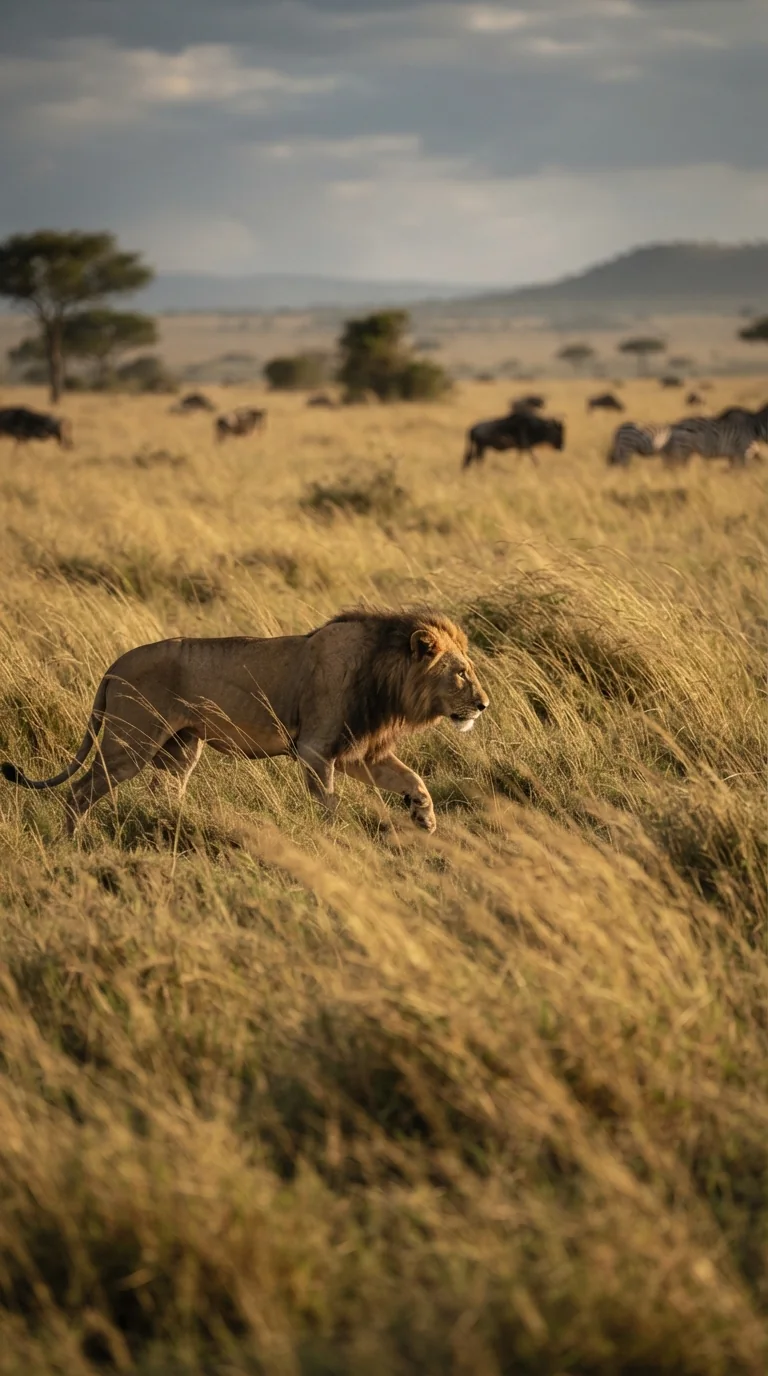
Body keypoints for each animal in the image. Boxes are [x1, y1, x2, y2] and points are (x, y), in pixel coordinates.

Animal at [1, 608, 489, 836]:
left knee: (163, 792)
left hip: (181, 748)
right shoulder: (316, 749)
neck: (386, 674)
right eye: (461, 673)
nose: (485, 705)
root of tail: (114, 664)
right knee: (79, 792)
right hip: (131, 743)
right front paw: (335, 837)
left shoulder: (357, 751)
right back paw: (74, 844)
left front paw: (425, 818)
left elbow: (413, 778)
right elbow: (329, 803)